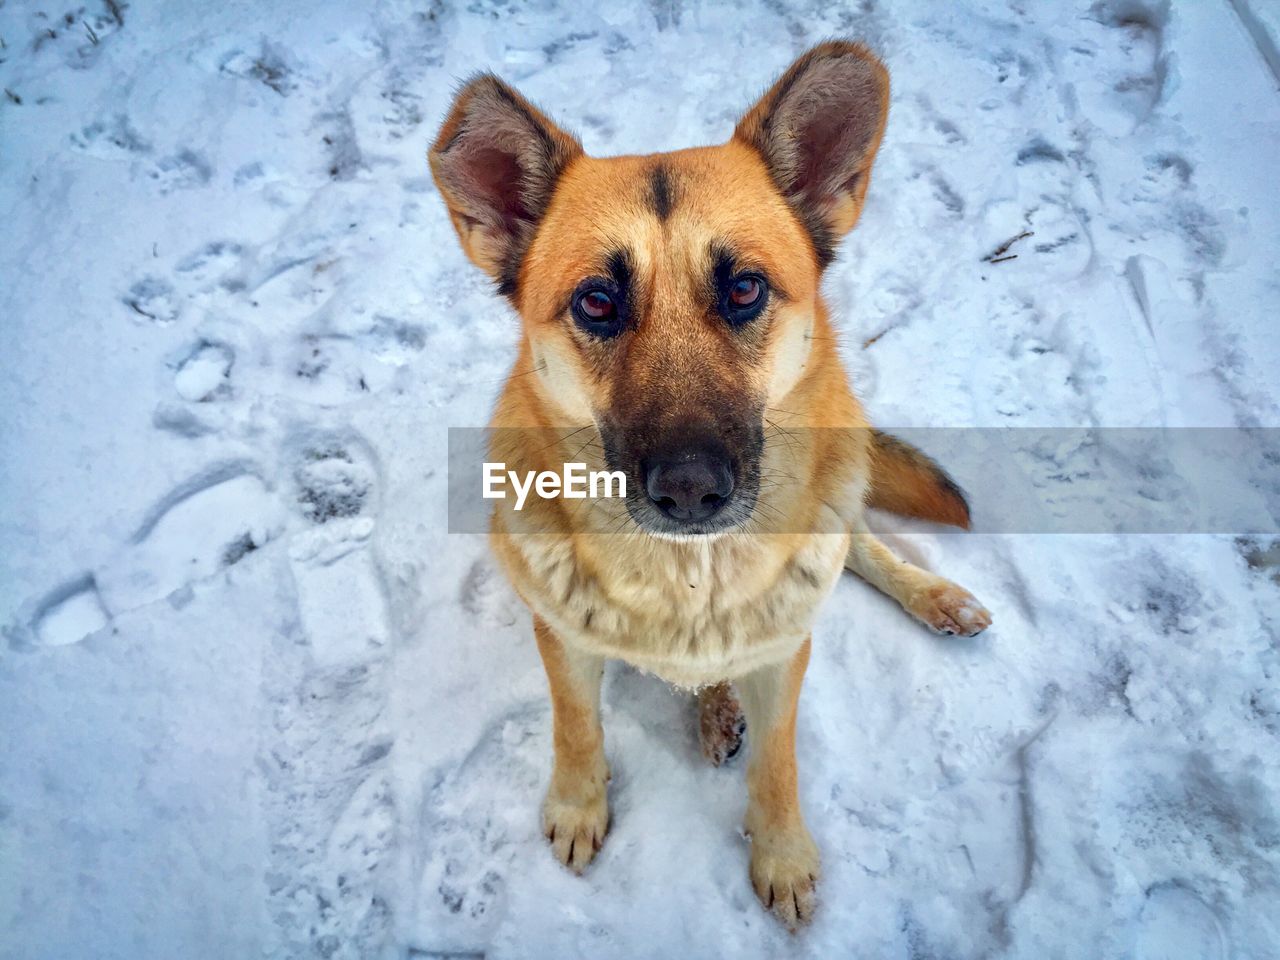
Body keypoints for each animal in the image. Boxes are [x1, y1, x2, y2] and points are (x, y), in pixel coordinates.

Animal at [430, 39, 988, 931]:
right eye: (597, 302)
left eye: (744, 289)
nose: (691, 489)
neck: (690, 581)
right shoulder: (562, 642)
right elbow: (575, 729)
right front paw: (580, 806)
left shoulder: (785, 655)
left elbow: (779, 765)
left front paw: (781, 854)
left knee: (863, 546)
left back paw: (933, 596)